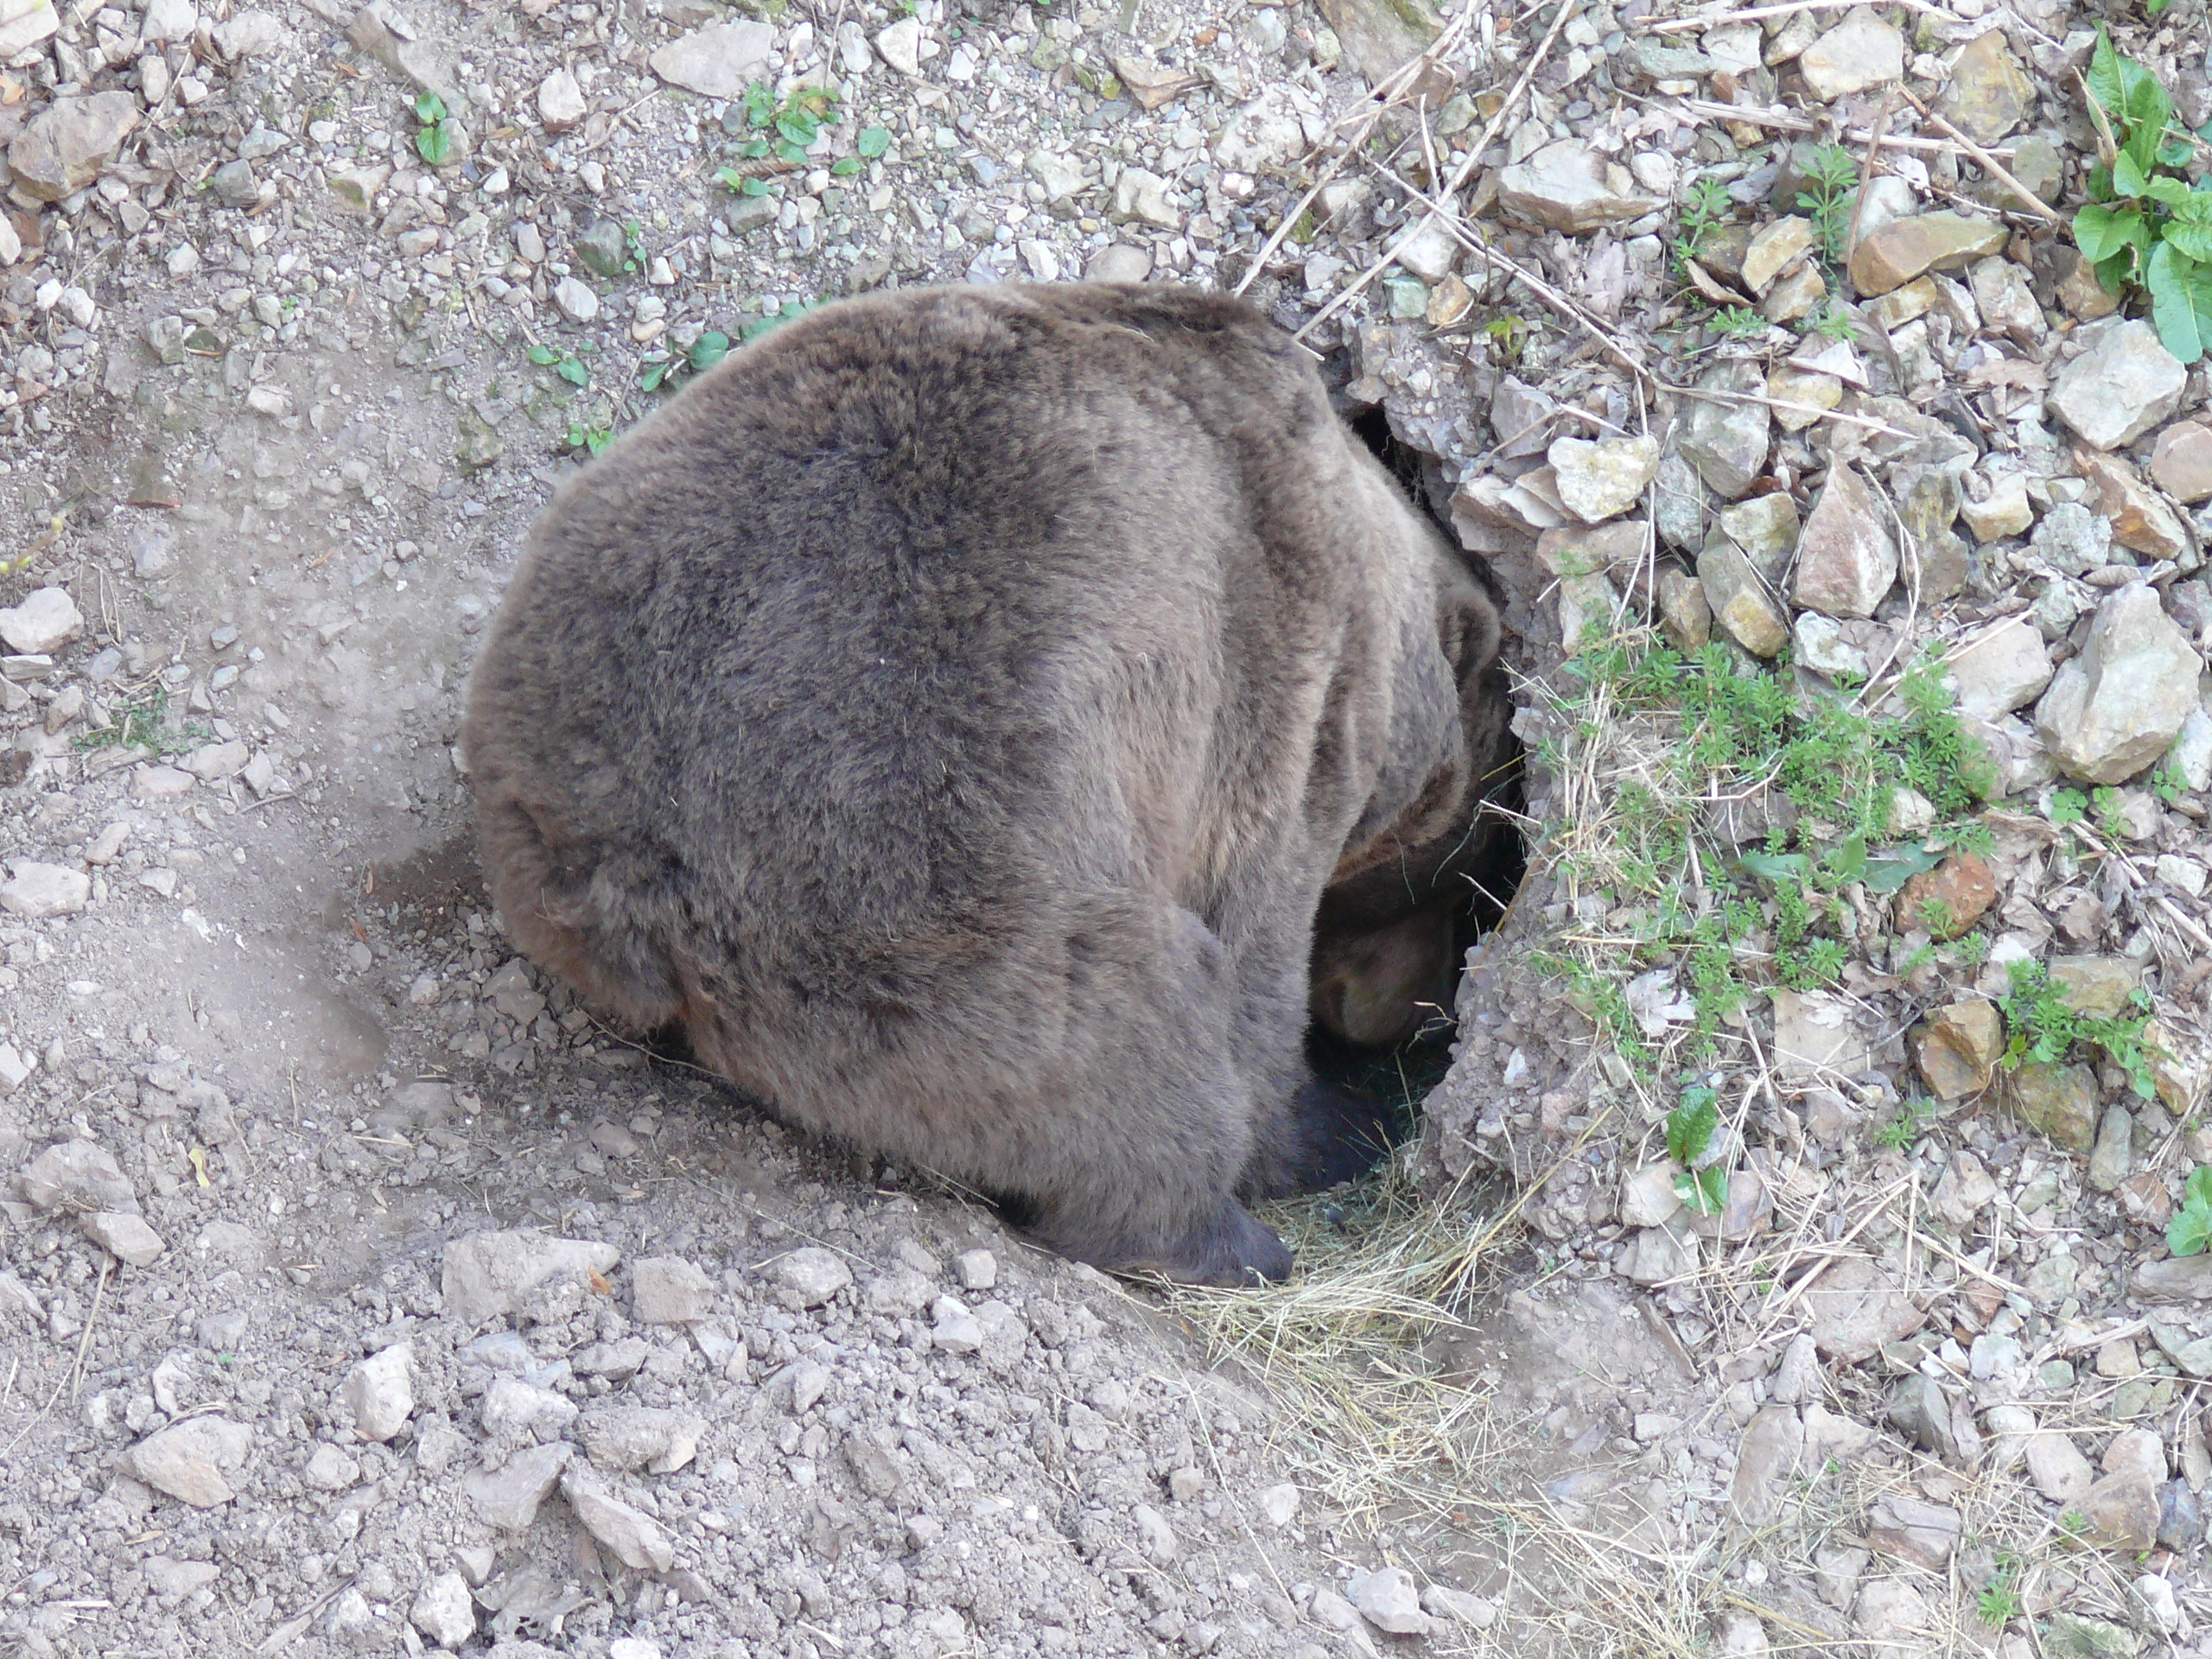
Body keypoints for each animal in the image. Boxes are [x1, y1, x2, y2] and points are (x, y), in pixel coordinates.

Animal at [463, 282, 1503, 1286]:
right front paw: (1331, 1130)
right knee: (1129, 1022)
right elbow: (1256, 962)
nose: (1414, 1014)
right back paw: (1224, 1239)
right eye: (1461, 872)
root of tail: (616, 872)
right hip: (926, 895)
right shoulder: (1277, 685)